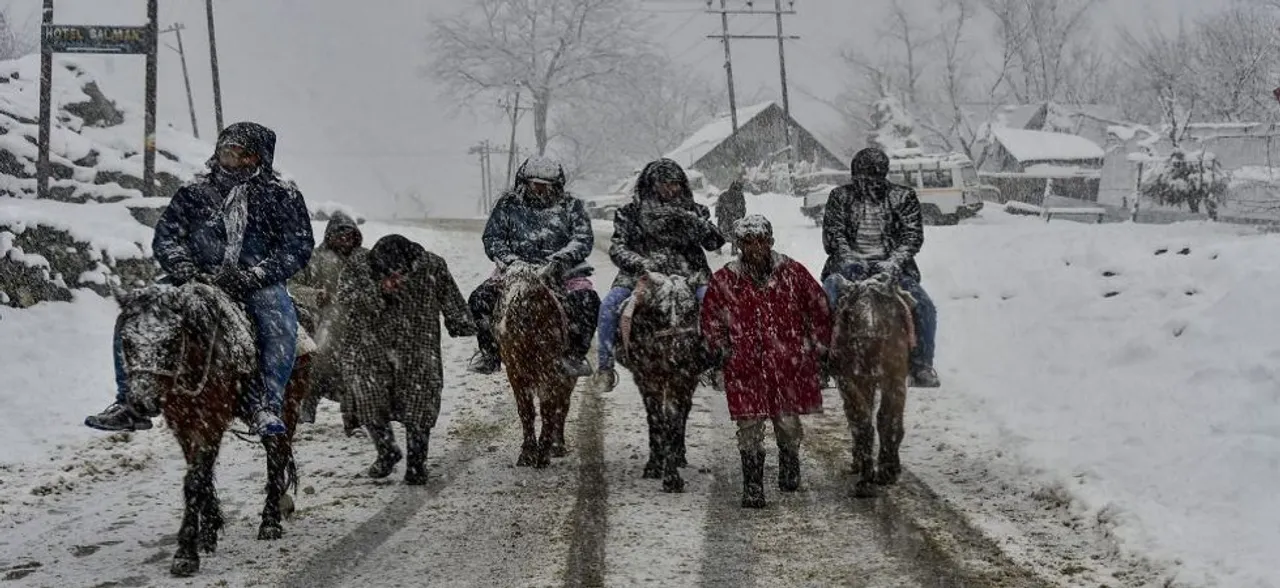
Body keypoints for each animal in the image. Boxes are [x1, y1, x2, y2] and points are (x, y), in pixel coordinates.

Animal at [117, 283, 312, 579]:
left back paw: (270, 522)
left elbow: (195, 480)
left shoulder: (211, 422)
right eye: (126, 341)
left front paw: (186, 553)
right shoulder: (183, 426)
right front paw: (208, 533)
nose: (141, 401)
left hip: (287, 408)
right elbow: (203, 477)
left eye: (170, 341)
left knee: (276, 455)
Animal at [491, 262, 573, 468]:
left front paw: (543, 453)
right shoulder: (515, 372)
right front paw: (527, 453)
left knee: (563, 406)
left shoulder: (550, 373)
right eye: (503, 288)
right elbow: (526, 411)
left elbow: (548, 409)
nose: (504, 326)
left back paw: (557, 445)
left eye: (532, 293)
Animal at [611, 274, 701, 494]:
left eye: (690, 312)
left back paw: (680, 454)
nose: (680, 355)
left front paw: (672, 477)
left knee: (685, 409)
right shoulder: (646, 379)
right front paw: (654, 465)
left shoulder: (681, 377)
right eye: (660, 312)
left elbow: (673, 420)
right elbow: (656, 419)